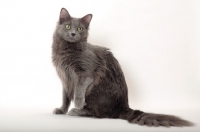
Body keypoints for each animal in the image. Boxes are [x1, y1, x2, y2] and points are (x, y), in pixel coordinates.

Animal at [51, 7, 194, 127]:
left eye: (80, 29)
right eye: (68, 26)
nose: (73, 34)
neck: (67, 51)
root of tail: (124, 106)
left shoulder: (87, 73)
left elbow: (78, 90)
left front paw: (78, 104)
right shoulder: (65, 78)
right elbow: (65, 97)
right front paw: (61, 109)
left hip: (96, 89)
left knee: (99, 114)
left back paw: (76, 111)